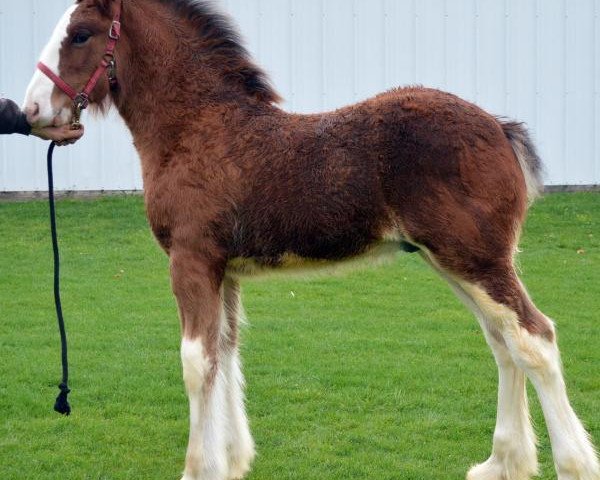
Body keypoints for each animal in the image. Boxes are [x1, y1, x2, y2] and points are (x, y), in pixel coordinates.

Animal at [23, 0, 600, 480]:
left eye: (80, 34)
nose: (31, 112)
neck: (198, 128)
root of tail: (500, 128)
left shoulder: (191, 260)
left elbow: (195, 362)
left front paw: (198, 468)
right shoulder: (224, 269)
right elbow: (225, 351)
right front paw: (232, 461)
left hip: (475, 258)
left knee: (534, 339)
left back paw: (572, 464)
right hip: (457, 261)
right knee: (503, 342)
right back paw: (502, 463)